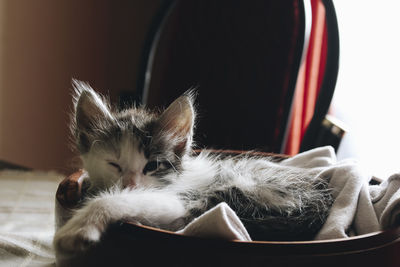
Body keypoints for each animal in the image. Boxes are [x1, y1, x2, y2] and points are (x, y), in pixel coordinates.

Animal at [54, 81, 334, 253]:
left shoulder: (178, 200)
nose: (131, 185)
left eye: (153, 166)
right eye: (113, 164)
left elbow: (115, 200)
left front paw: (76, 230)